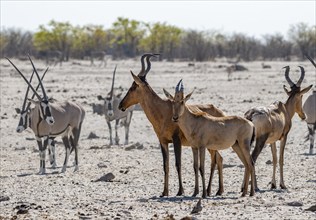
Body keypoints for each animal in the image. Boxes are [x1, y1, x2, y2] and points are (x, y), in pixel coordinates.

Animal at [118, 53, 225, 198]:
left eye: (133, 87)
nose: (121, 106)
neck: (164, 110)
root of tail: (219, 111)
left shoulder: (176, 140)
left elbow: (178, 164)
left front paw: (180, 191)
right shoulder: (163, 142)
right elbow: (166, 165)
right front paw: (164, 192)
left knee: (216, 159)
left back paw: (211, 191)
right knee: (219, 158)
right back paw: (216, 190)